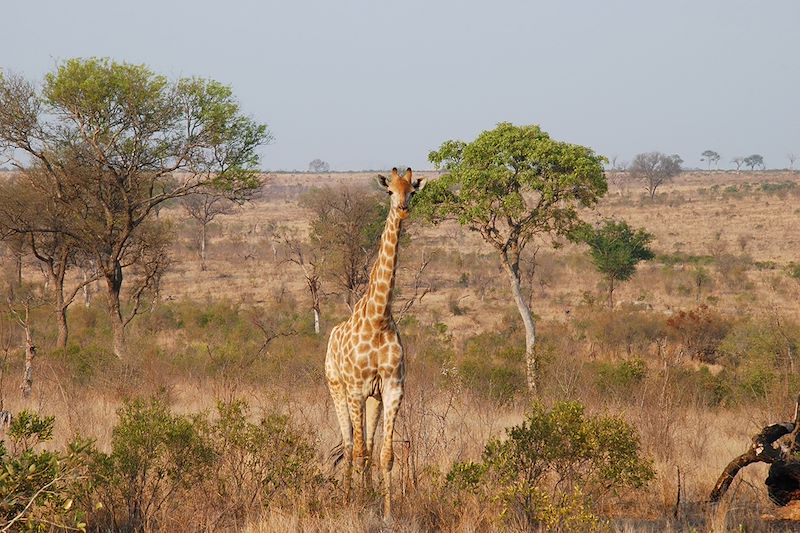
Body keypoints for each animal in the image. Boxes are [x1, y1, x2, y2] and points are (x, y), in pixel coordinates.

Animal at [324, 165, 424, 516]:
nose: (403, 209)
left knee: (365, 444)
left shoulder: (393, 388)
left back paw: (365, 494)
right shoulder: (355, 388)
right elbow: (357, 451)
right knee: (349, 443)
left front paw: (387, 512)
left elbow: (385, 455)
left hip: (373, 399)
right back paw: (347, 497)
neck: (379, 316)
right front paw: (355, 507)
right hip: (337, 389)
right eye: (389, 191)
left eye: (412, 190)